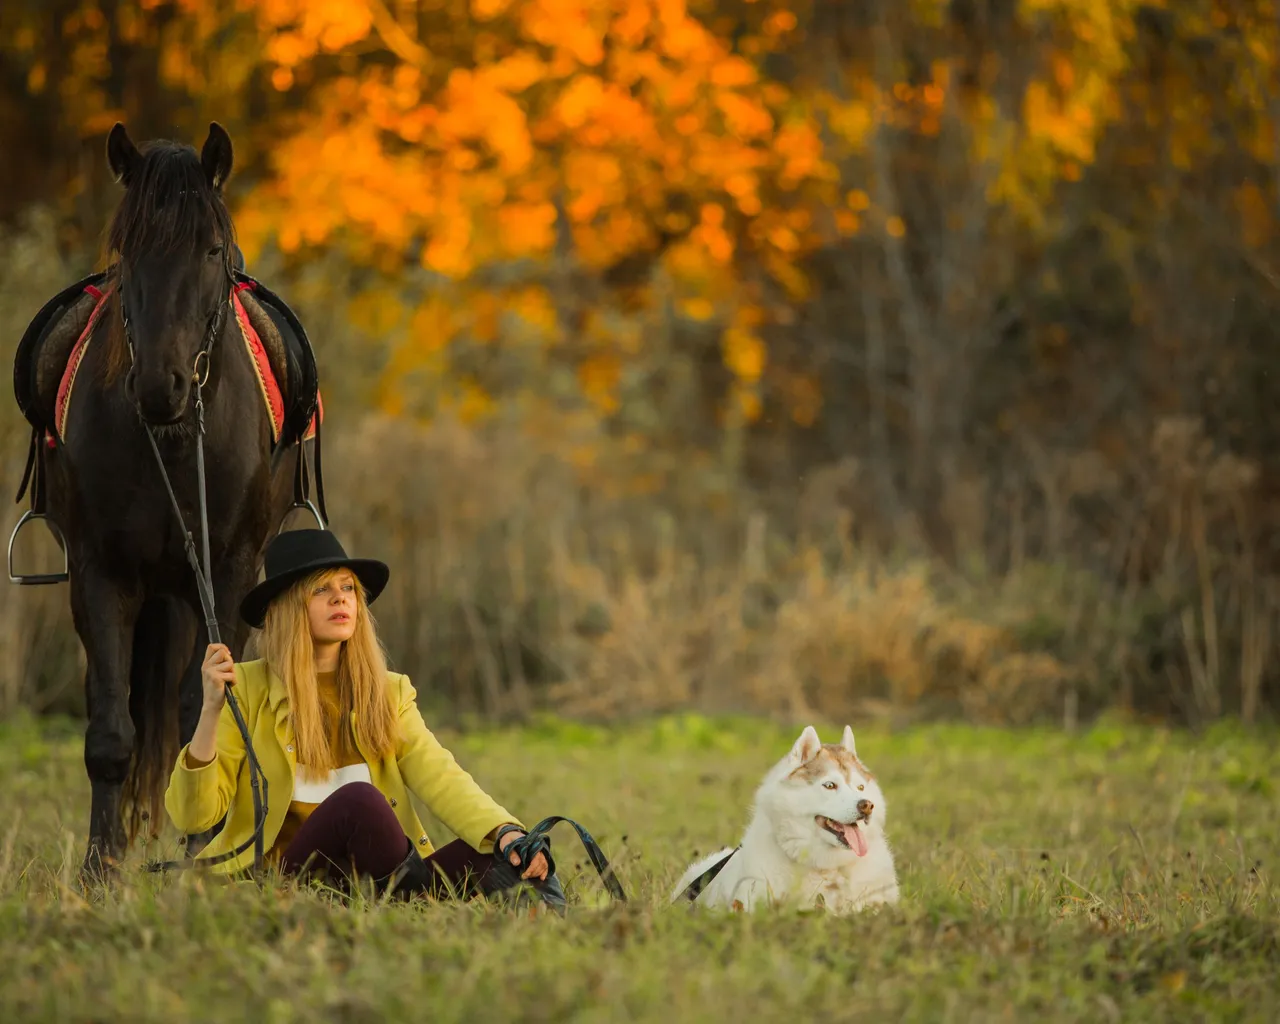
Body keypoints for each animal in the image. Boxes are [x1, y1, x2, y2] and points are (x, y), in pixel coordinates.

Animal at [21, 124, 318, 880]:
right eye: (129, 251)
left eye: (211, 250)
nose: (163, 385)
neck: (173, 439)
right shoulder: (100, 575)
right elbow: (110, 732)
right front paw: (99, 871)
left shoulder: (227, 574)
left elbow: (198, 714)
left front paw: (202, 858)